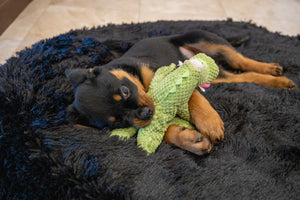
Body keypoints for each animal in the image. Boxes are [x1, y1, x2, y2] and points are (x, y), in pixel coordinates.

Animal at [65, 30, 296, 155]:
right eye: (117, 122)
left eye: (124, 91)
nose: (145, 113)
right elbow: (160, 131)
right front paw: (190, 140)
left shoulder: (171, 72)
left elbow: (192, 96)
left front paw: (210, 123)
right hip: (218, 76)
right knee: (242, 76)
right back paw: (276, 80)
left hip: (206, 40)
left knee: (241, 60)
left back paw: (274, 71)